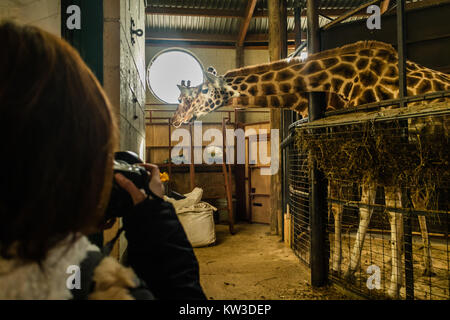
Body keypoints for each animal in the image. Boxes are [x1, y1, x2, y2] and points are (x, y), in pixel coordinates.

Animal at [173, 41, 450, 298]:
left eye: (195, 94)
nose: (177, 119)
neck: (346, 77)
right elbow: (353, 207)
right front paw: (348, 268)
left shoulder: (374, 146)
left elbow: (376, 210)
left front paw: (384, 284)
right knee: (416, 204)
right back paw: (423, 265)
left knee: (410, 205)